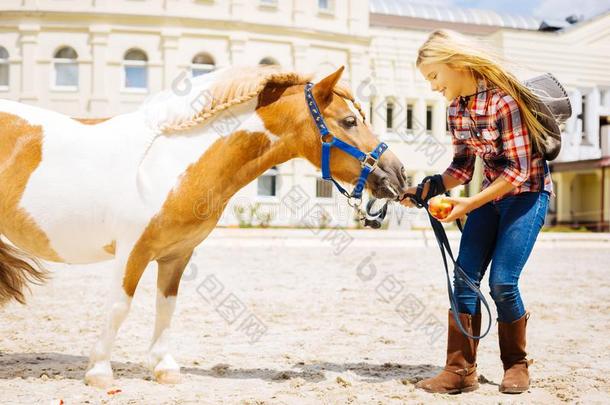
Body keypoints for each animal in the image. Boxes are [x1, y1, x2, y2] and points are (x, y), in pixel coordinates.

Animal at [1, 65, 408, 386]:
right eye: (350, 121)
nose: (399, 174)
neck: (170, 163)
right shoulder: (132, 251)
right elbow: (119, 306)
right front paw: (99, 372)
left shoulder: (176, 255)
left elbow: (166, 306)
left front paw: (163, 368)